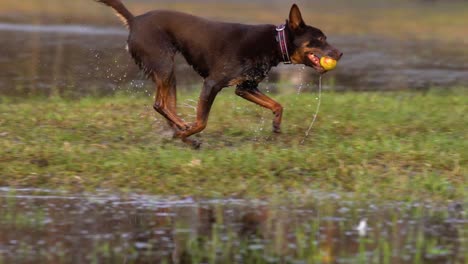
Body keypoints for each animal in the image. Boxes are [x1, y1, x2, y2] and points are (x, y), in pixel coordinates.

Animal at [97, 0, 342, 148]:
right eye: (319, 39)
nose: (340, 53)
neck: (274, 42)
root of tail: (134, 20)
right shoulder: (212, 84)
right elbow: (202, 122)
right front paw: (187, 132)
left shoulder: (245, 87)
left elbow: (277, 105)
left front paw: (276, 125)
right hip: (164, 65)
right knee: (160, 104)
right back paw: (183, 132)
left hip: (168, 74)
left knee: (167, 107)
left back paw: (183, 133)